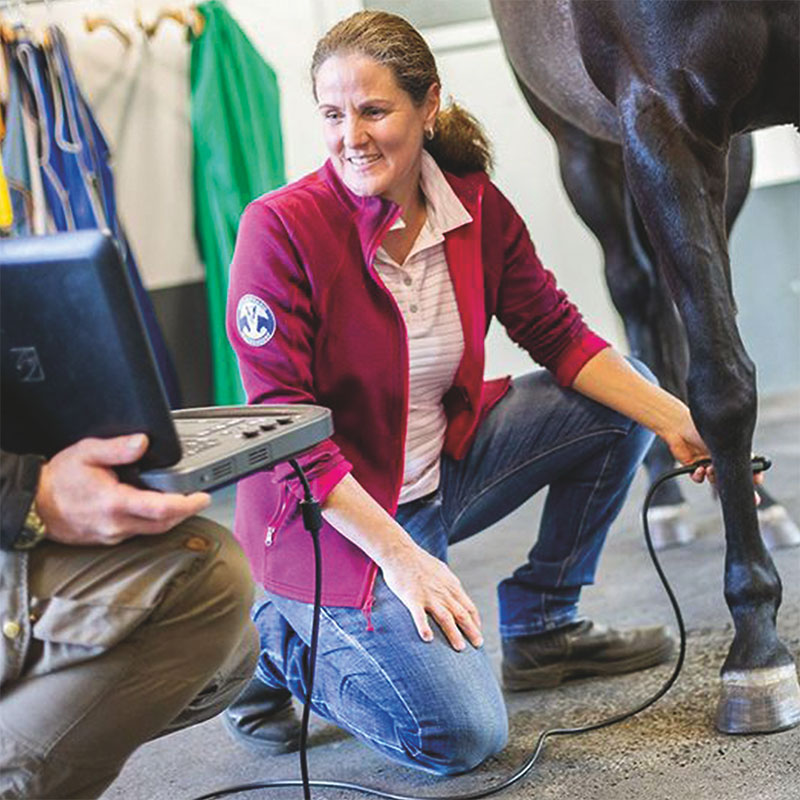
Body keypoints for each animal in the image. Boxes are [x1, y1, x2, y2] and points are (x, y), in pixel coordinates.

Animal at [494, 0, 800, 736]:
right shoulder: (661, 120)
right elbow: (720, 384)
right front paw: (757, 648)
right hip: (583, 143)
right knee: (638, 293)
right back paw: (666, 491)